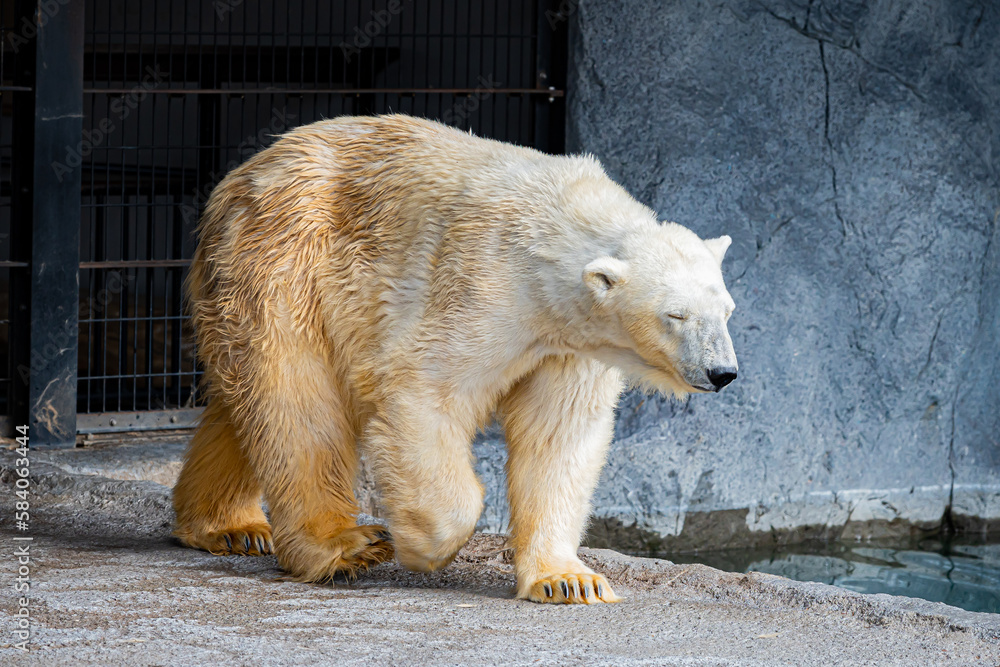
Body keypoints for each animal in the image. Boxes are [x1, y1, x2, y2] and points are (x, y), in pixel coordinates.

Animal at [170, 113, 736, 604]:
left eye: (728, 310)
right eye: (676, 315)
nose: (723, 372)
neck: (552, 238)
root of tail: (246, 174)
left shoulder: (571, 343)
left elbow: (558, 433)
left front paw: (568, 580)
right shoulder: (484, 285)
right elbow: (424, 390)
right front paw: (423, 547)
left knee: (248, 404)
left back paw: (226, 526)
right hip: (285, 260)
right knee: (297, 401)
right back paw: (343, 545)